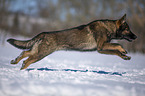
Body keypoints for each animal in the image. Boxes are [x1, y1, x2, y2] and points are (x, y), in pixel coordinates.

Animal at [7, 14, 137, 70]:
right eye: (127, 29)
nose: (135, 36)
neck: (109, 28)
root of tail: (44, 33)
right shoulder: (101, 47)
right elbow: (118, 45)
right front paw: (123, 50)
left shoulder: (102, 49)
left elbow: (116, 52)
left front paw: (125, 56)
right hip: (41, 54)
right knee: (27, 60)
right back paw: (22, 70)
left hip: (38, 51)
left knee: (25, 53)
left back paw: (15, 61)